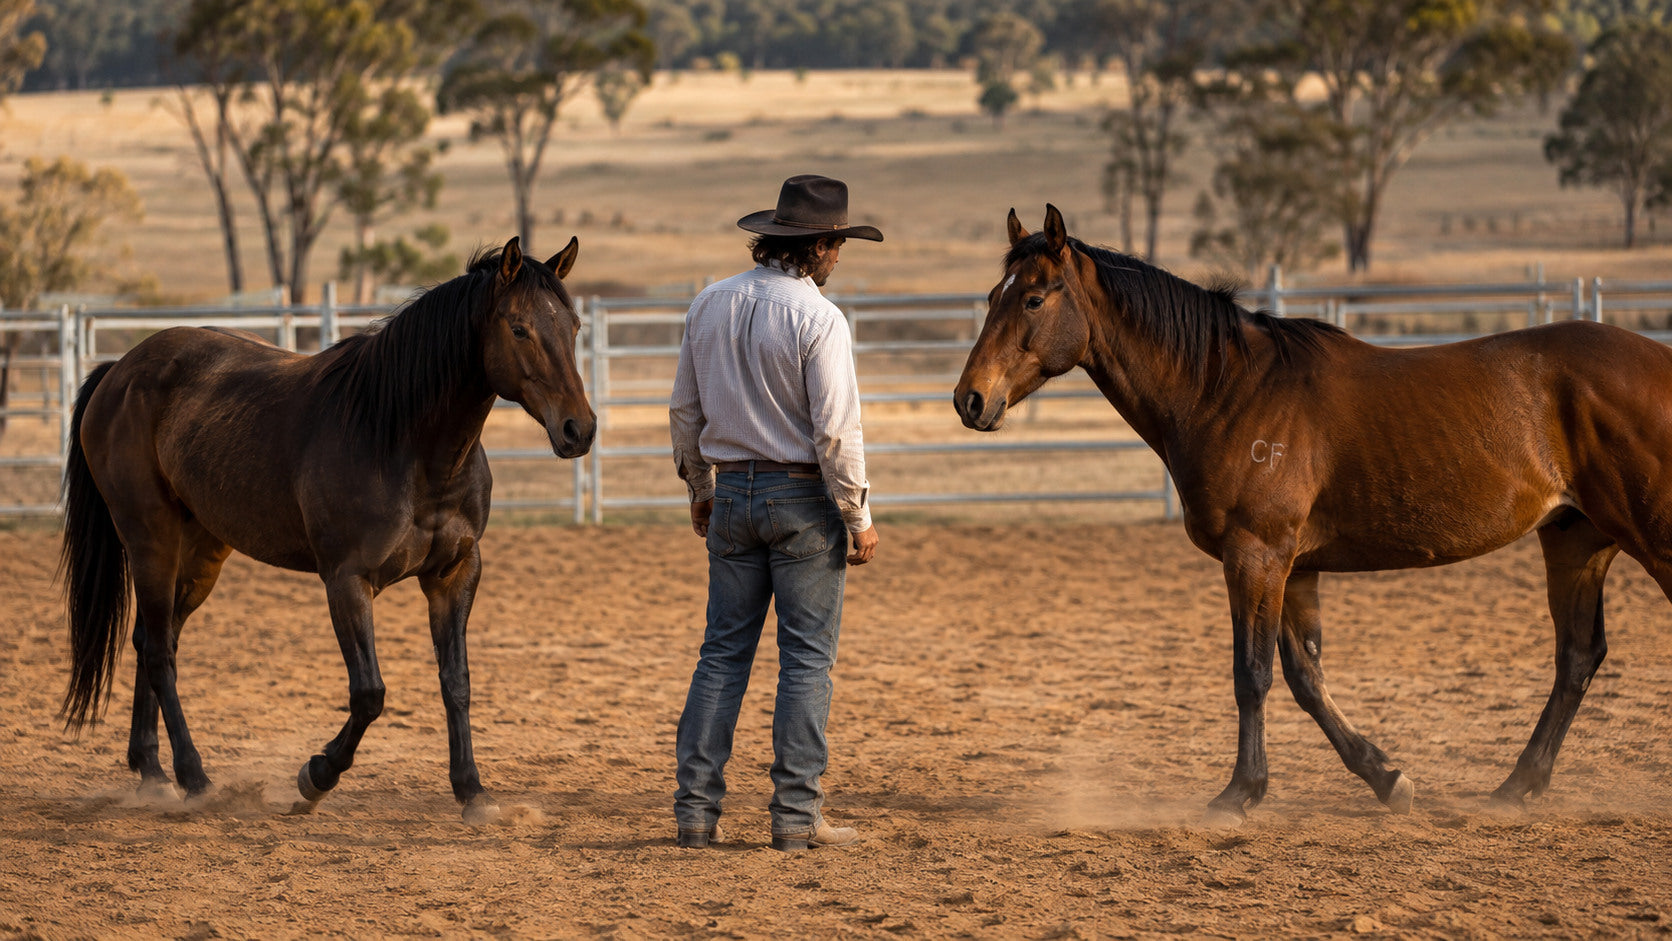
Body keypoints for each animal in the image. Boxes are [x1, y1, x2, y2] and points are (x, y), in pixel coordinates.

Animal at [59, 236, 594, 823]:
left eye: (573, 326)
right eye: (518, 328)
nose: (579, 429)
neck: (402, 440)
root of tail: (119, 371)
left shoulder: (454, 574)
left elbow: (456, 683)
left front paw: (472, 791)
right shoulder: (347, 580)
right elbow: (369, 693)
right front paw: (315, 776)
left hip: (202, 553)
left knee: (154, 640)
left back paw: (152, 772)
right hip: (150, 539)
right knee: (157, 650)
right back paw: (194, 778)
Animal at [954, 205, 1672, 826]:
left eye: (1034, 299)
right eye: (992, 295)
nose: (970, 399)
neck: (1228, 389)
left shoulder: (1256, 555)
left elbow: (1252, 674)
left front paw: (1239, 792)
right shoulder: (1294, 567)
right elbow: (1305, 676)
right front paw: (1386, 777)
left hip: (1650, 537)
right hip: (1576, 540)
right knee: (1577, 656)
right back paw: (1518, 784)